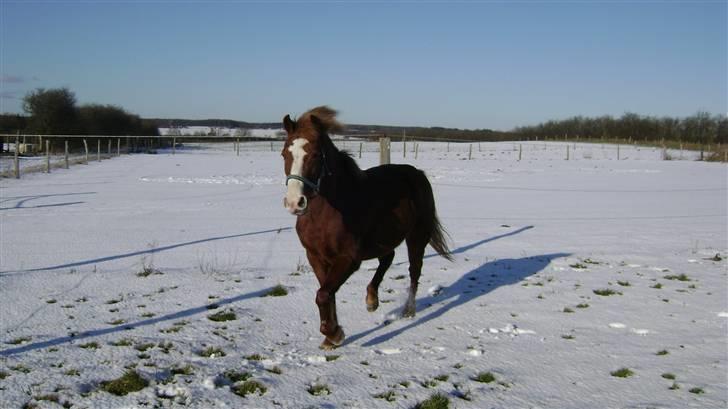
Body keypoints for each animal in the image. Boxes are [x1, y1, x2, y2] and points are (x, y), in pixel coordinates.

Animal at [282, 105, 452, 348]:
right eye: (285, 154)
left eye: (314, 155)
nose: (295, 203)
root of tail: (417, 173)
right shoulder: (315, 256)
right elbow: (327, 293)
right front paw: (331, 337)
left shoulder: (349, 258)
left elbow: (323, 294)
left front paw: (333, 333)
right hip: (384, 239)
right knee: (388, 258)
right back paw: (372, 299)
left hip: (417, 236)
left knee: (414, 270)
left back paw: (408, 310)